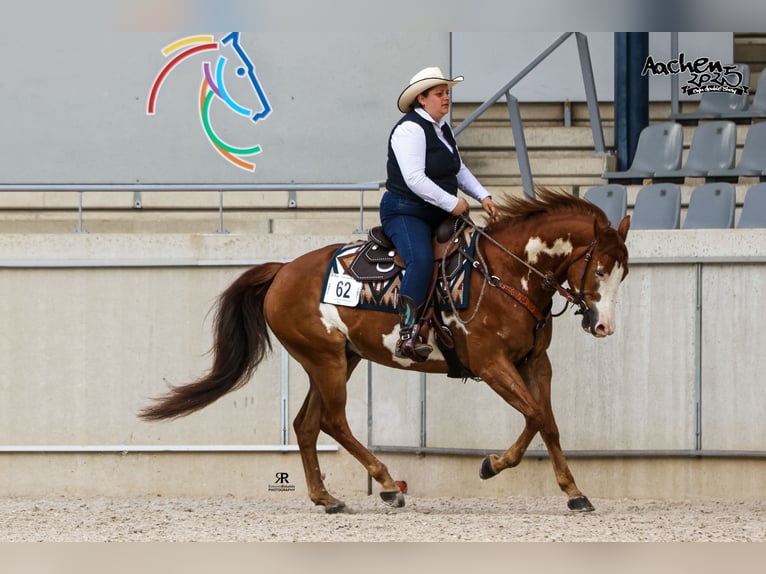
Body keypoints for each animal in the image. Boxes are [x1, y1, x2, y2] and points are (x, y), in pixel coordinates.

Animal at [139, 187, 631, 513]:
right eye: (599, 269)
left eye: (622, 273)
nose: (603, 325)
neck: (506, 274)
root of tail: (282, 271)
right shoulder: (493, 365)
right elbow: (534, 415)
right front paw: (492, 465)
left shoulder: (535, 363)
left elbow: (547, 422)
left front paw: (574, 493)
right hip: (325, 360)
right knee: (333, 421)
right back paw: (388, 484)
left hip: (340, 360)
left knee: (306, 424)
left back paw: (327, 498)